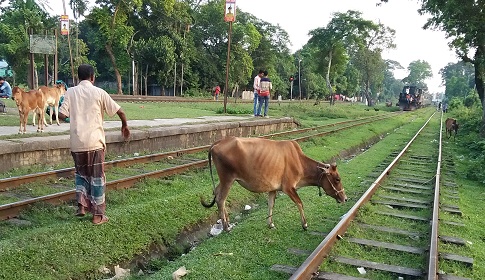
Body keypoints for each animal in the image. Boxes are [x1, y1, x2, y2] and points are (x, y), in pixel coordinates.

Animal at [199, 136, 346, 232]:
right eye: (337, 179)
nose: (345, 198)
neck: (299, 161)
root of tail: (218, 142)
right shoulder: (288, 187)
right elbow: (300, 203)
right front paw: (304, 225)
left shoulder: (273, 188)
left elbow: (271, 205)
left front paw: (270, 224)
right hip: (227, 179)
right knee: (221, 199)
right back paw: (225, 227)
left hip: (225, 180)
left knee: (216, 192)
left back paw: (227, 221)